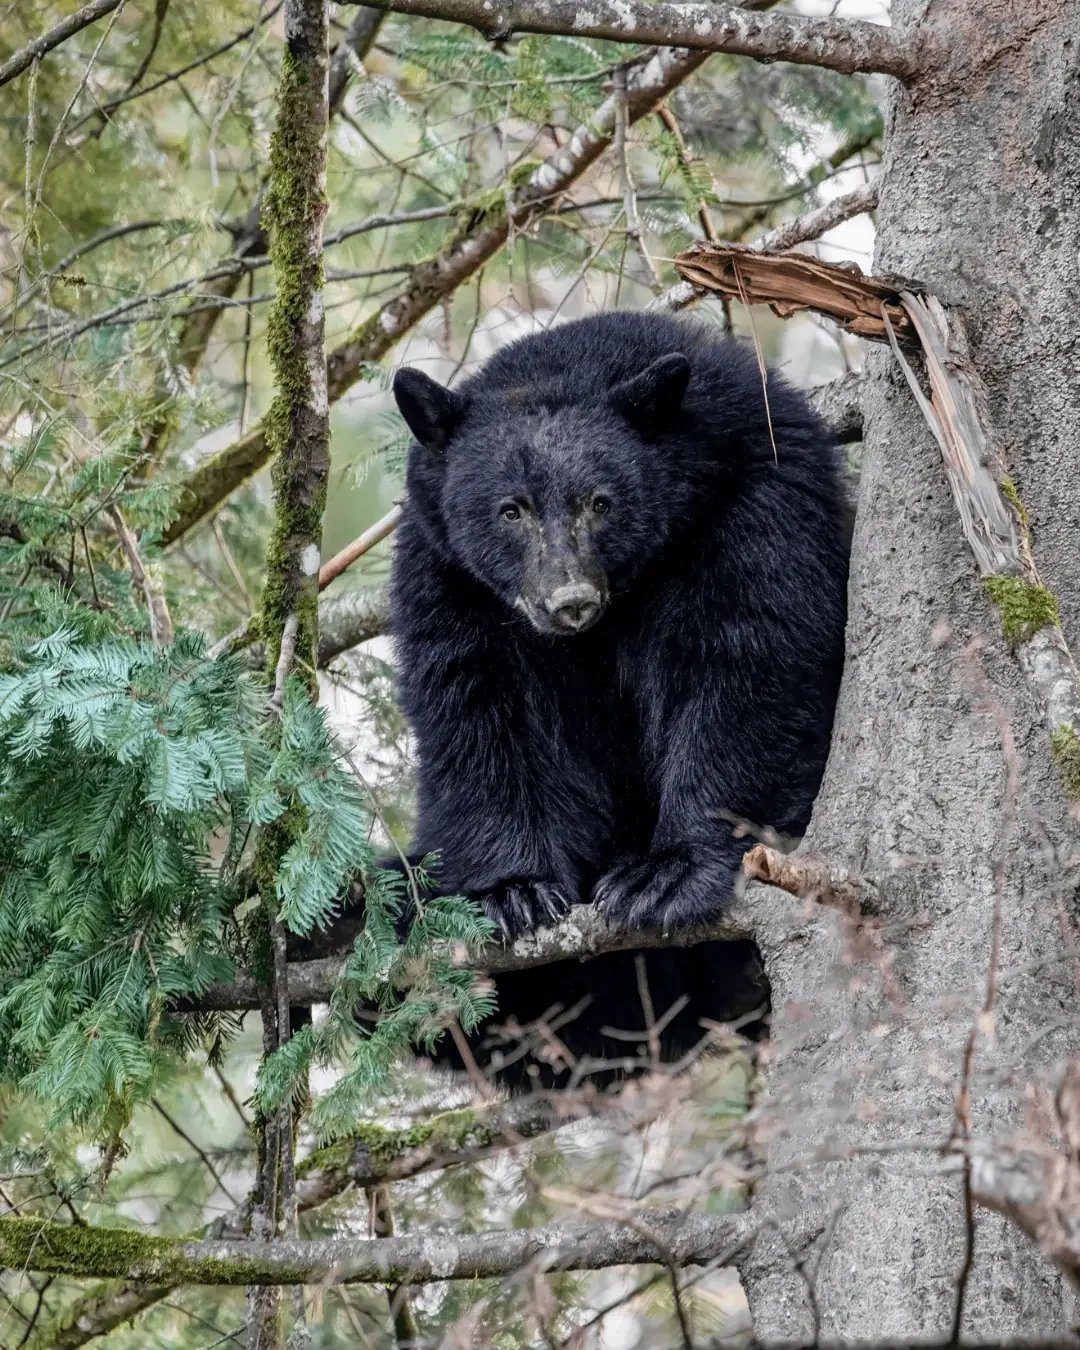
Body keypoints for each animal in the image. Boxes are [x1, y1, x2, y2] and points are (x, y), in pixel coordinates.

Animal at [386, 310, 849, 1084]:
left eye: (600, 502)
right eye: (510, 510)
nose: (568, 600)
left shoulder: (756, 502)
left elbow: (749, 665)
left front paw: (668, 875)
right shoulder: (448, 577)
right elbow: (479, 711)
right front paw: (512, 891)